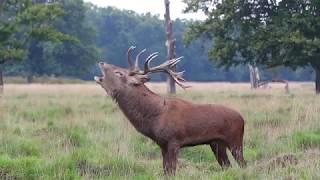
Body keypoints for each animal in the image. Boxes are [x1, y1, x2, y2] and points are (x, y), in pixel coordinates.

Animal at [95, 46, 248, 174]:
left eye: (119, 73)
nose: (102, 63)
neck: (154, 117)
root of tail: (242, 119)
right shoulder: (162, 144)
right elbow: (166, 170)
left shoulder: (174, 140)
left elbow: (172, 170)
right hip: (216, 143)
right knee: (227, 165)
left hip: (235, 139)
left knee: (243, 164)